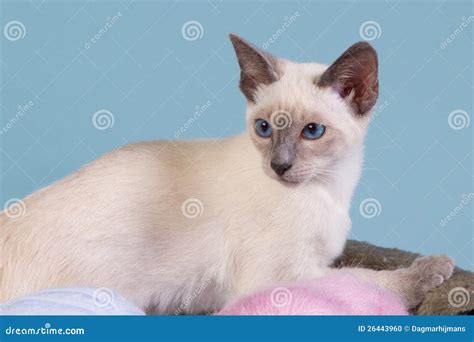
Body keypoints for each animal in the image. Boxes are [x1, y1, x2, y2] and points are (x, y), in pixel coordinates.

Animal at [0, 33, 452, 314]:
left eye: (312, 132)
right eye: (265, 128)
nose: (279, 166)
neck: (329, 191)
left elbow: (363, 266)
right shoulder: (286, 276)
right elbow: (366, 280)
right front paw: (434, 269)